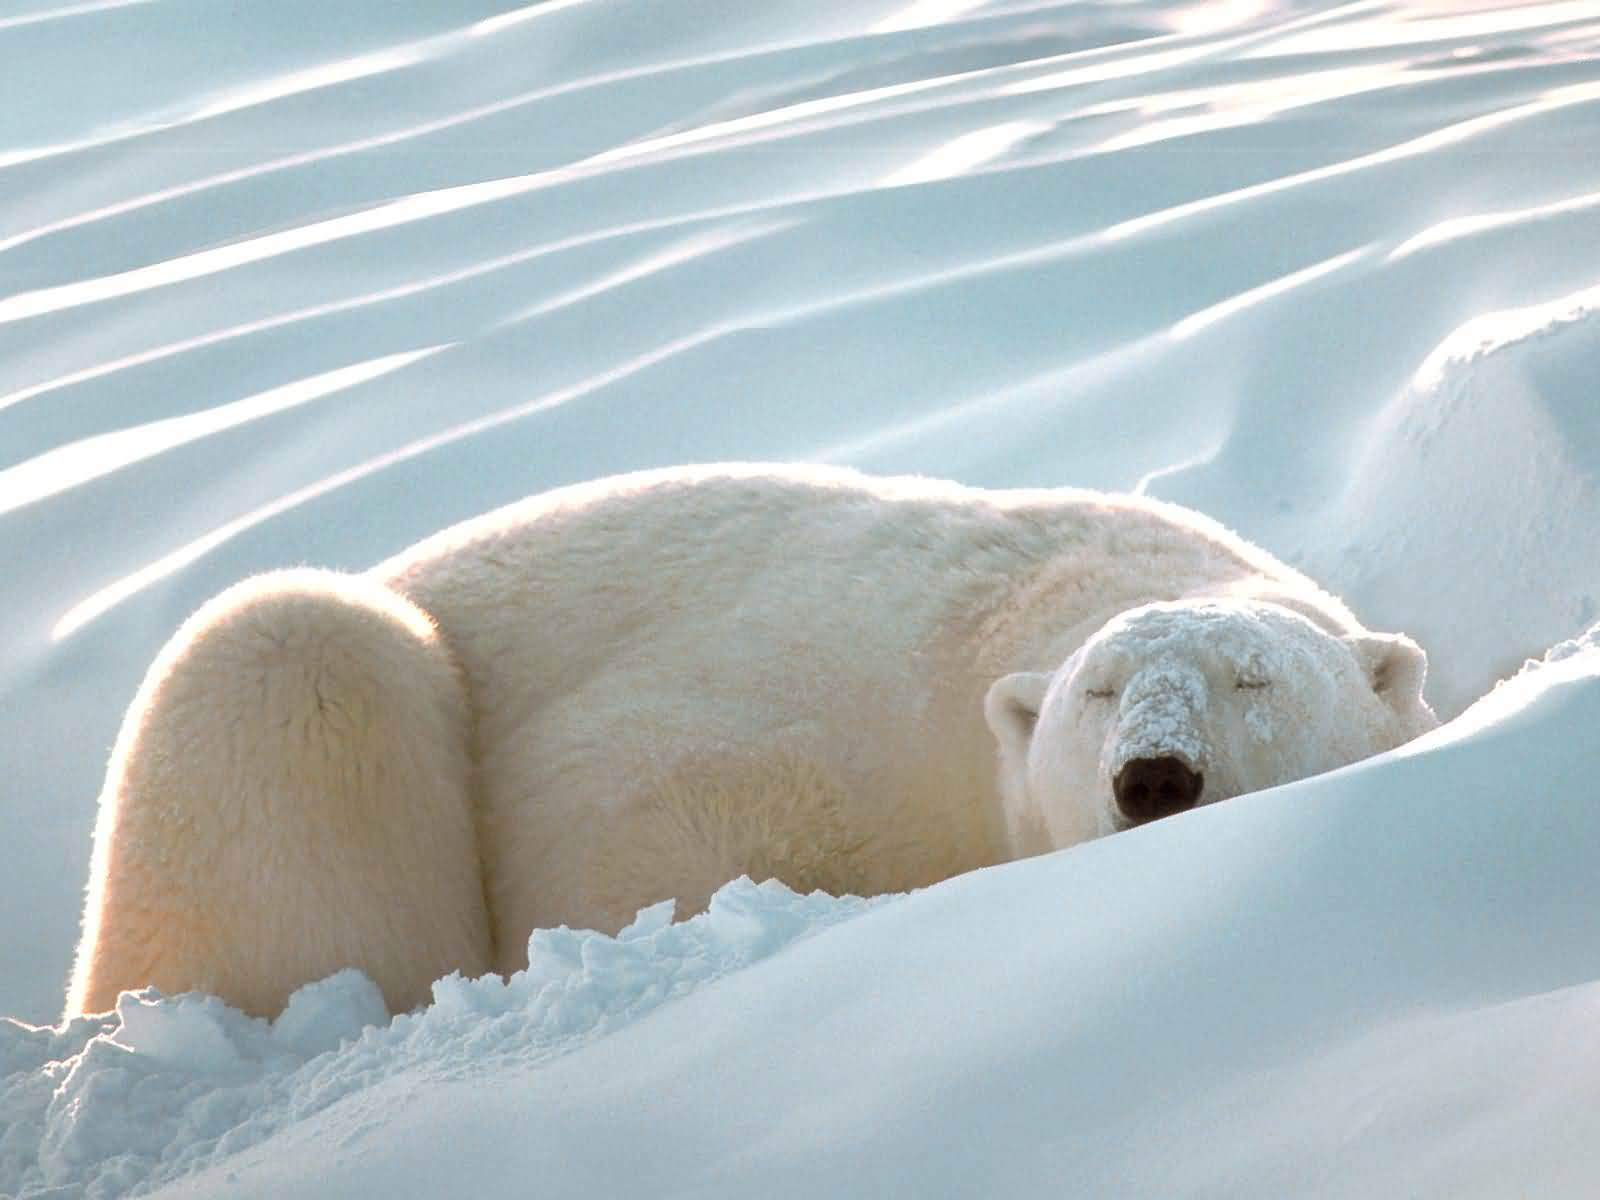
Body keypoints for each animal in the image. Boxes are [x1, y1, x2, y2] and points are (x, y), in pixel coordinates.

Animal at [65, 463, 1438, 1020]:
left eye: (1252, 676)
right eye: (1100, 693)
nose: (1155, 776)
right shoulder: (813, 716)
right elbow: (631, 819)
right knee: (289, 650)